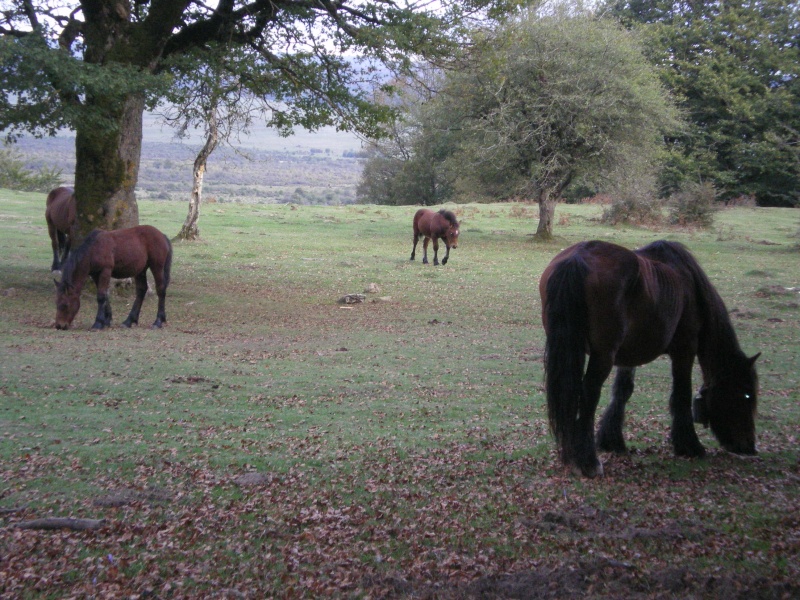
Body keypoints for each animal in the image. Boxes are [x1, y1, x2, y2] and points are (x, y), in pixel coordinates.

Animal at [540, 239, 760, 478]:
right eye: (746, 395)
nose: (749, 447)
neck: (691, 288)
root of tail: (579, 256)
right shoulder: (685, 350)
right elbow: (681, 395)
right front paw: (689, 445)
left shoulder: (628, 357)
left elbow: (622, 391)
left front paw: (612, 440)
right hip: (603, 356)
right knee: (588, 395)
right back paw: (587, 461)